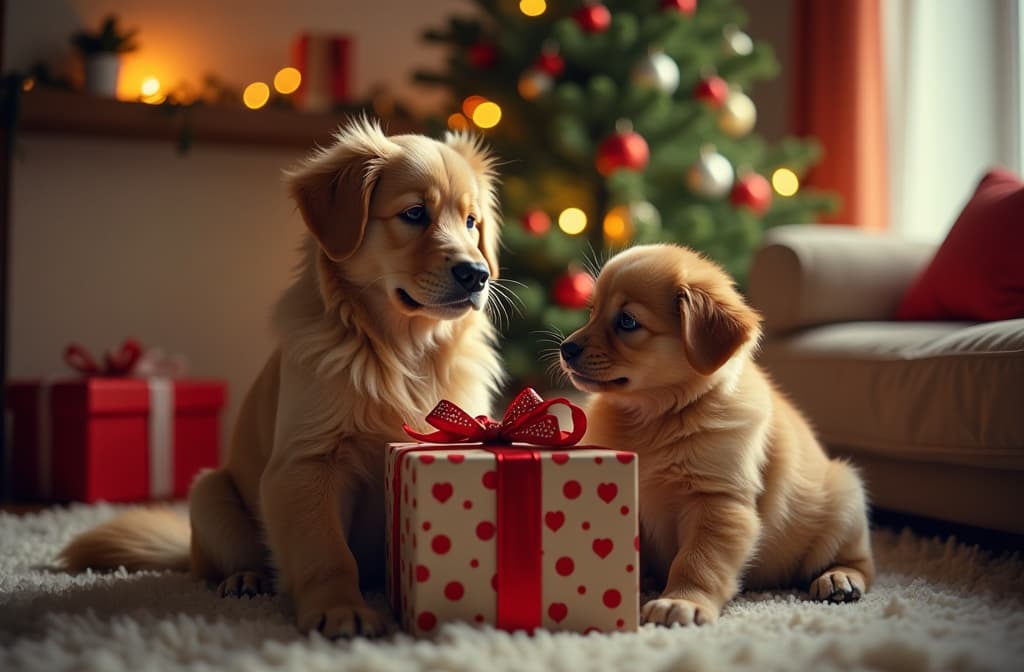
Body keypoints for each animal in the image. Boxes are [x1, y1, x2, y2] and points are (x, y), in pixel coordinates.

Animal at [58, 118, 505, 639]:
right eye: (414, 213)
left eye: (472, 222)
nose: (477, 275)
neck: (403, 351)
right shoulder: (305, 465)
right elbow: (327, 554)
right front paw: (339, 609)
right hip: (209, 492)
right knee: (229, 562)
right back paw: (245, 580)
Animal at [561, 243, 872, 626]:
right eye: (592, 311)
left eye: (627, 321)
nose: (565, 349)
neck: (657, 417)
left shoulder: (718, 502)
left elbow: (697, 562)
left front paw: (681, 602)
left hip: (845, 500)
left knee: (862, 563)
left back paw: (839, 578)